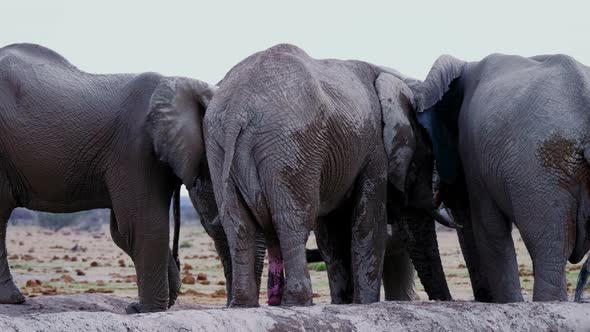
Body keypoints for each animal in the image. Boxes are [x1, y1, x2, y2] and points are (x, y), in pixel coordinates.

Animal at [0, 43, 216, 312]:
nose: (133, 306)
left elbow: (123, 231)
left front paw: (141, 308)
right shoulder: (134, 148)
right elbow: (140, 225)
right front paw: (147, 311)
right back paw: (13, 300)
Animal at [202, 43, 454, 306]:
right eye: (428, 153)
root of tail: (237, 108)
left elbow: (331, 234)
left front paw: (345, 303)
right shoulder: (374, 149)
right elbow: (367, 221)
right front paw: (365, 303)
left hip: (218, 145)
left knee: (238, 223)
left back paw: (243, 304)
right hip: (291, 145)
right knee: (292, 219)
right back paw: (299, 302)